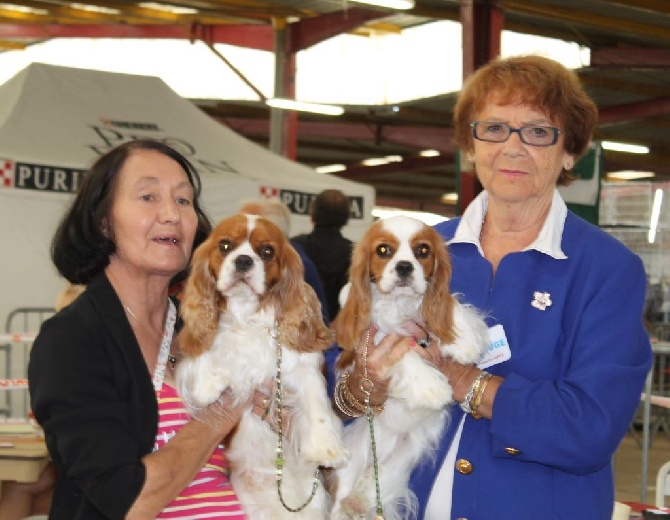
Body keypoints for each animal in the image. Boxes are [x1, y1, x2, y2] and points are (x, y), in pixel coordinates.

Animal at [176, 213, 350, 516]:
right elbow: (212, 349)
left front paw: (326, 449)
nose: (244, 260)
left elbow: (317, 405)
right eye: (224, 246)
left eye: (267, 252)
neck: (248, 314)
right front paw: (207, 385)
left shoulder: (304, 368)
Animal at [332, 215, 486, 520]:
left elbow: (450, 303)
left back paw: (359, 501)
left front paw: (463, 340)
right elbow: (404, 351)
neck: (400, 303)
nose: (404, 266)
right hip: (348, 469)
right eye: (383, 251)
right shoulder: (375, 339)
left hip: (405, 457)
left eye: (423, 251)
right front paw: (433, 388)